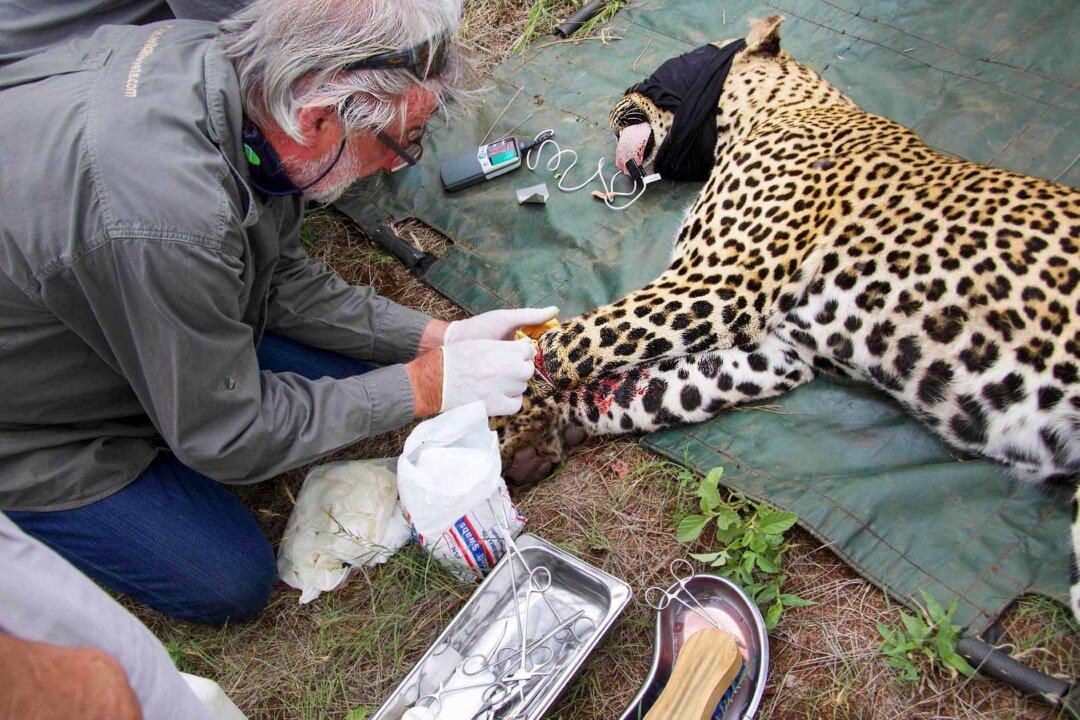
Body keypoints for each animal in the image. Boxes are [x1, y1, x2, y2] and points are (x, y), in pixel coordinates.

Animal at [494, 16, 1080, 621]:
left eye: (664, 71)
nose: (618, 100)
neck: (776, 109)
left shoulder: (716, 283)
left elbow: (572, 341)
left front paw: (500, 410)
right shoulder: (777, 353)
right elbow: (647, 386)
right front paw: (538, 433)